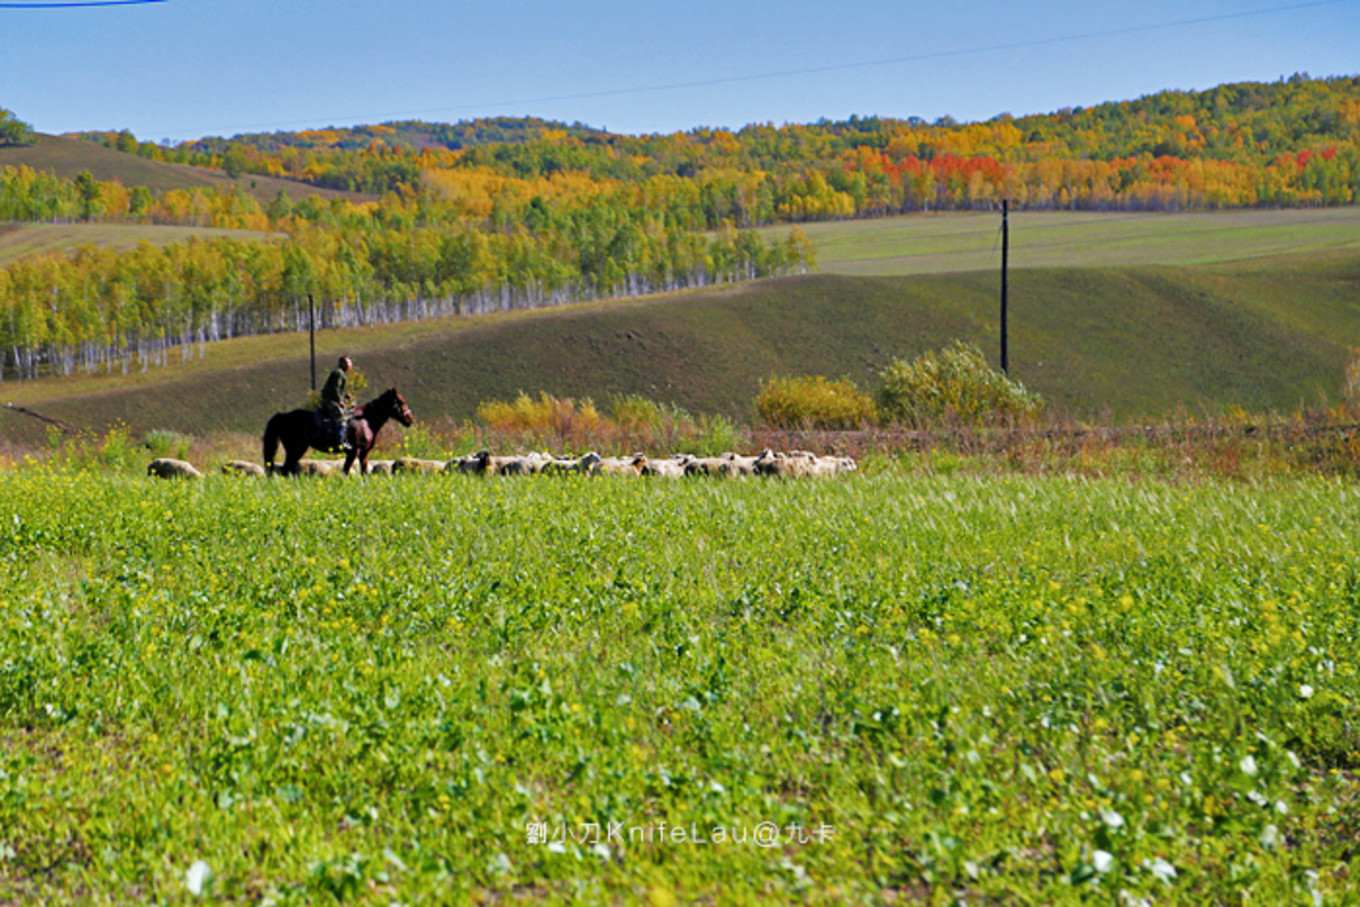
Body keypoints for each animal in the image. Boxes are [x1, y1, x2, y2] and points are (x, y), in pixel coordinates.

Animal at [261, 386, 413, 478]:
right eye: (401, 401)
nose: (410, 419)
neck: (366, 420)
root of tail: (284, 416)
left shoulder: (364, 453)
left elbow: (364, 472)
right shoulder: (354, 451)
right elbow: (346, 471)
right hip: (296, 450)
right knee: (285, 470)